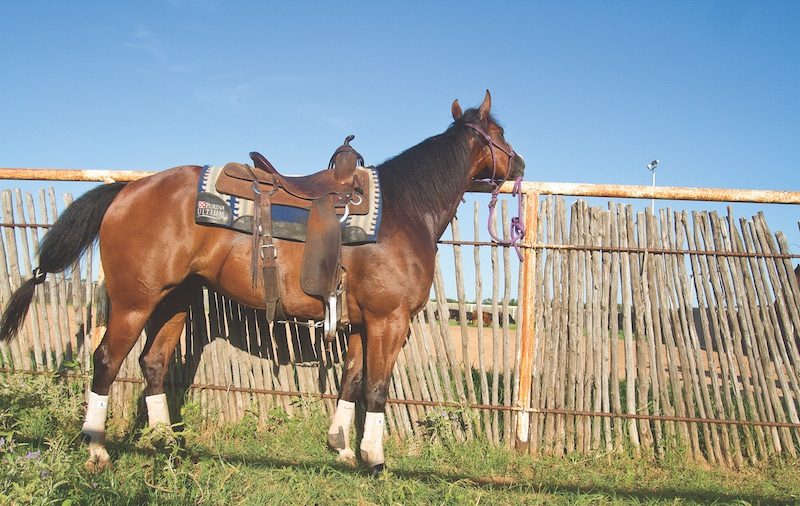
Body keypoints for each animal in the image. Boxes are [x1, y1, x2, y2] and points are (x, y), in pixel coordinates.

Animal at [0, 91, 525, 474]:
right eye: (500, 133)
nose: (519, 165)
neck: (404, 209)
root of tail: (128, 189)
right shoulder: (388, 320)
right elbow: (376, 389)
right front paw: (374, 460)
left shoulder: (359, 324)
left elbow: (351, 381)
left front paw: (342, 447)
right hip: (134, 302)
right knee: (107, 361)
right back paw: (96, 448)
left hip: (174, 302)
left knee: (152, 364)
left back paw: (166, 445)